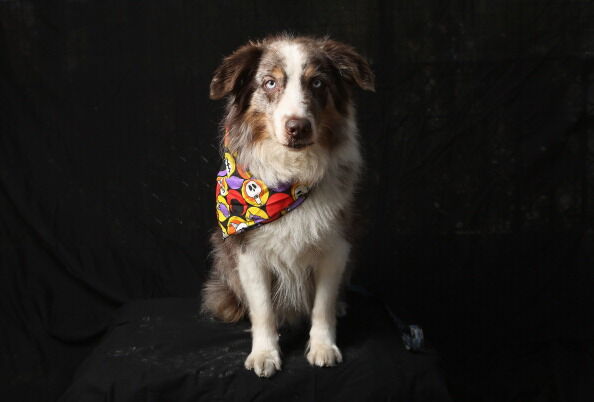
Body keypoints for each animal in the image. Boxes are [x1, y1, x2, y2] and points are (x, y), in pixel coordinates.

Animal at [201, 33, 372, 376]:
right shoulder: (248, 251)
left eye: (317, 83)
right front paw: (265, 353)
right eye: (270, 82)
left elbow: (322, 306)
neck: (290, 178)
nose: (298, 127)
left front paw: (323, 347)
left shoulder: (336, 246)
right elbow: (263, 309)